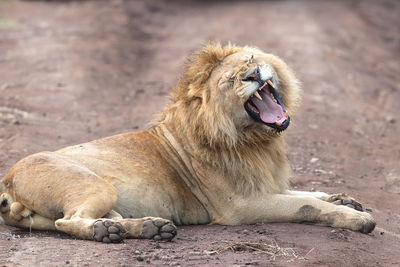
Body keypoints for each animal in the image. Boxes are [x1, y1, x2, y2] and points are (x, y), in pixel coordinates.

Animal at [0, 43, 376, 244]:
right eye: (230, 80)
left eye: (252, 61)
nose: (254, 76)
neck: (256, 141)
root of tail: (7, 181)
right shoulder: (241, 205)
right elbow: (305, 205)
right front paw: (355, 218)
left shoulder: (265, 185)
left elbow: (307, 193)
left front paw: (345, 199)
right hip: (95, 185)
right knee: (67, 222)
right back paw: (109, 232)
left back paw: (145, 228)